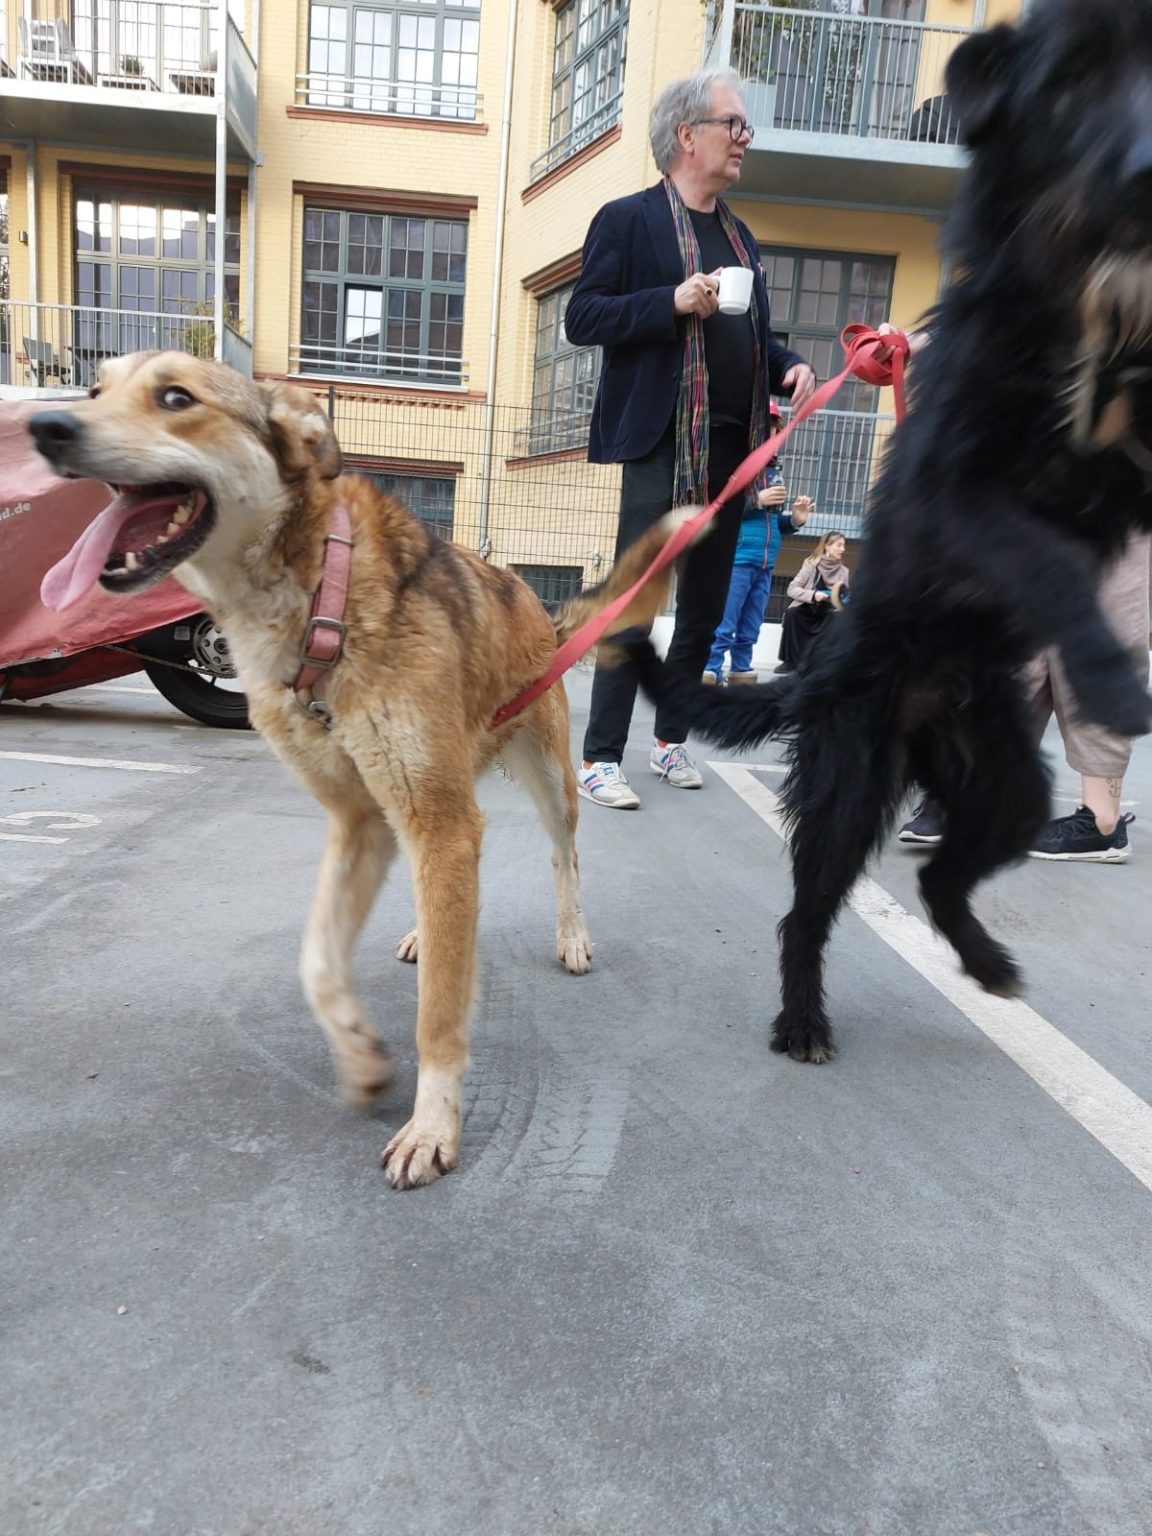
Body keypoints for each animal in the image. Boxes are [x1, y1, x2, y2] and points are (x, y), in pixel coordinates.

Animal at [33, 356, 694, 1185]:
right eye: (96, 390)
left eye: (176, 397)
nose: (46, 427)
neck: (325, 602)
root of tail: (538, 607)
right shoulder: (361, 819)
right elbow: (317, 960)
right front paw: (359, 1054)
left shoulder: (435, 817)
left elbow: (439, 1011)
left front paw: (432, 1124)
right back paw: (424, 931)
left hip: (544, 778)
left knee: (563, 854)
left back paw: (569, 934)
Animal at [632, 0, 1152, 1062]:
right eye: (1072, 80)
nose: (1147, 173)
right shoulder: (957, 493)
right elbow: (1043, 556)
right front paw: (1117, 676)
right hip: (849, 784)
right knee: (807, 911)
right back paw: (803, 1018)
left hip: (1006, 781)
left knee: (944, 874)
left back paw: (985, 961)